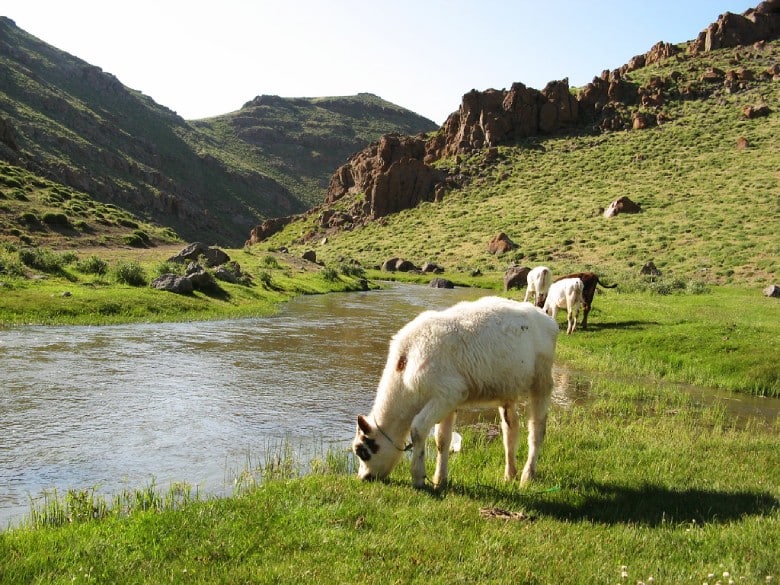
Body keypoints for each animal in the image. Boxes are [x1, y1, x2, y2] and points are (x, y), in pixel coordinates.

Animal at [350, 296, 556, 488]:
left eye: (362, 451)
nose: (363, 478)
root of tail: (545, 317)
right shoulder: (449, 400)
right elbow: (442, 440)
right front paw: (440, 480)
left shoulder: (447, 393)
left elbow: (418, 429)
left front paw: (418, 477)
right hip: (507, 389)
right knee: (510, 430)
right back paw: (510, 474)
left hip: (542, 381)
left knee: (537, 429)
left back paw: (527, 476)